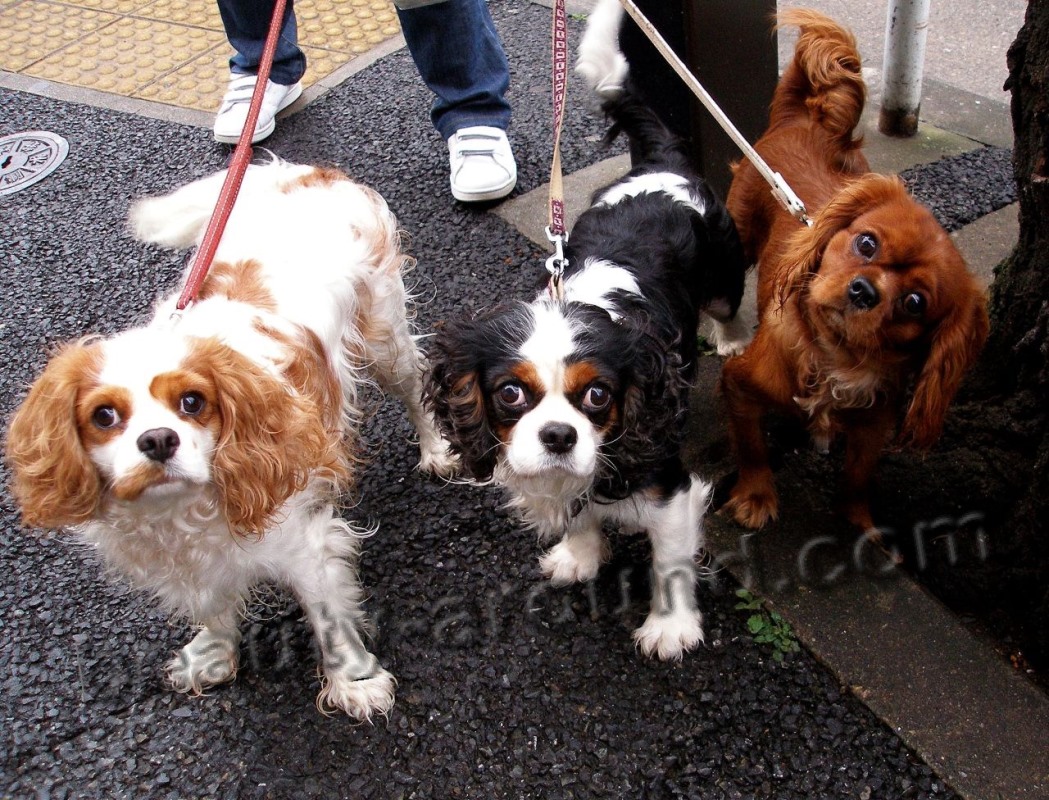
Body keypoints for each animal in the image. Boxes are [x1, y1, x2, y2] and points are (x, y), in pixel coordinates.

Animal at [5, 159, 455, 721]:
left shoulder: (306, 546)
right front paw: (215, 654)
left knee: (414, 387)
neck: (181, 511)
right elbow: (215, 605)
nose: (158, 440)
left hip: (382, 338)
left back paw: (435, 449)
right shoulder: (193, 561)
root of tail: (303, 172)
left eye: (193, 402)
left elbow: (328, 618)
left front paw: (355, 683)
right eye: (104, 415)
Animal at [423, 73, 746, 658]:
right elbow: (576, 511)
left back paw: (730, 343)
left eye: (598, 395)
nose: (558, 435)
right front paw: (580, 555)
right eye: (510, 394)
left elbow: (670, 562)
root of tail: (662, 163)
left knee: (729, 310)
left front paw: (671, 629)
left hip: (723, 279)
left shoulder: (669, 485)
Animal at [717, 9, 986, 534]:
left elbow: (858, 477)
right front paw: (755, 498)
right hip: (737, 235)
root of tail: (803, 118)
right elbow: (752, 447)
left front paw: (859, 527)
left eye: (915, 302)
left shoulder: (873, 426)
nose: (864, 291)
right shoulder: (739, 386)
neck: (835, 359)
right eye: (866, 243)